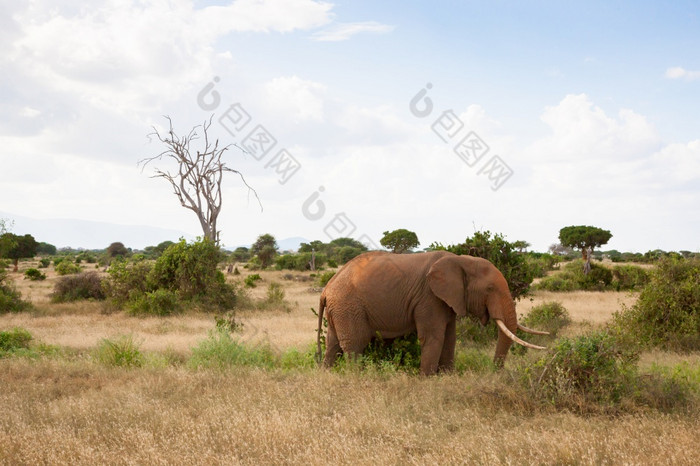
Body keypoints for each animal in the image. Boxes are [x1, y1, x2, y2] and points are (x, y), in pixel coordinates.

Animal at [316, 251, 548, 374]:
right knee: (354, 344)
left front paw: (447, 377)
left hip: (339, 309)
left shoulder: (448, 300)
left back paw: (327, 375)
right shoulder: (429, 298)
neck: (461, 260)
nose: (493, 372)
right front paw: (427, 380)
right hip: (348, 306)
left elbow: (450, 337)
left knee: (333, 344)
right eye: (490, 289)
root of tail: (326, 289)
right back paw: (357, 377)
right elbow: (433, 337)